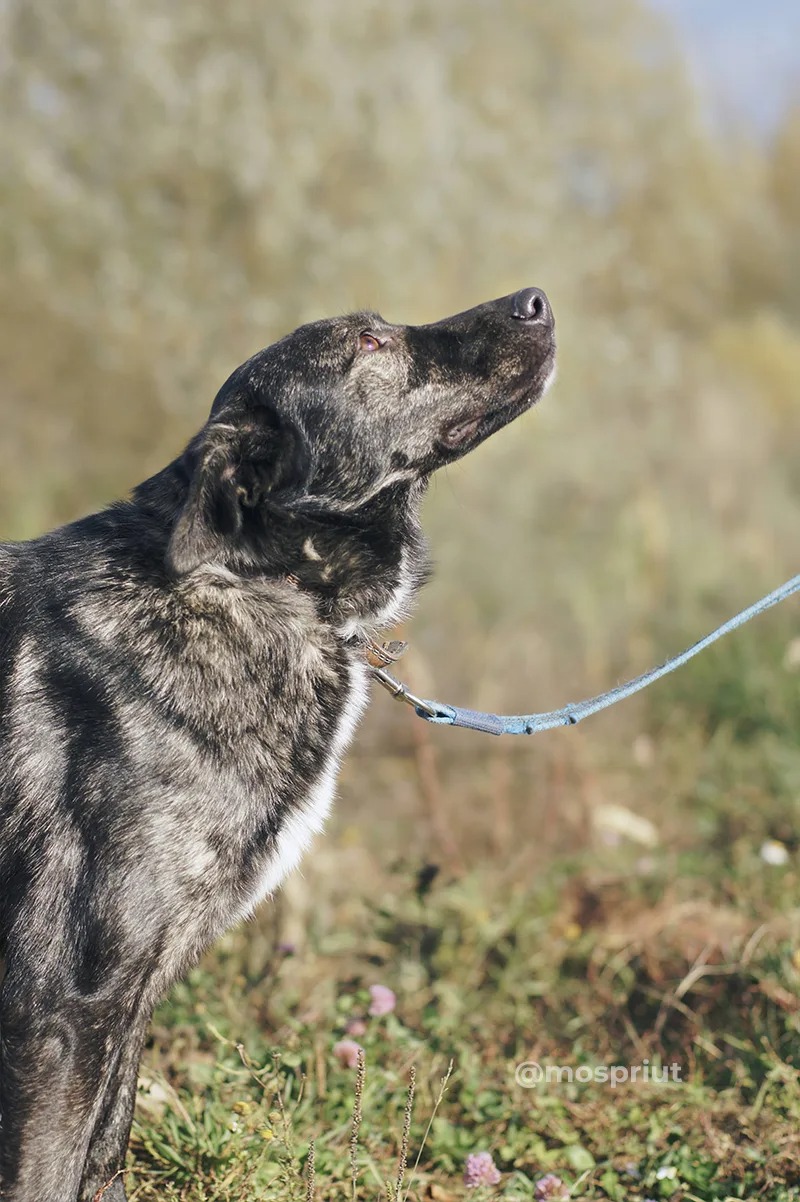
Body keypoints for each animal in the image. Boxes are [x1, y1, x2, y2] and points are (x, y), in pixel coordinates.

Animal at [0, 286, 554, 1197]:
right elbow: (49, 1175)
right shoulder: (62, 1003)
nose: (536, 300)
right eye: (369, 343)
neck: (257, 582)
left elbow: (104, 1155)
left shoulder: (127, 998)